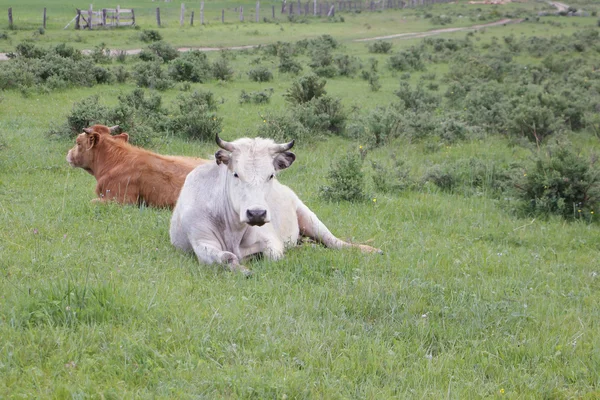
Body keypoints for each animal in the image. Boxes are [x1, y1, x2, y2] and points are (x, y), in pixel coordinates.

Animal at [171, 134, 382, 276]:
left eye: (270, 175)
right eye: (236, 174)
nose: (256, 213)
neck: (233, 229)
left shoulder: (271, 240)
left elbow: (273, 256)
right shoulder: (202, 243)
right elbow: (225, 257)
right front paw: (242, 269)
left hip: (307, 215)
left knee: (334, 241)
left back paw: (368, 249)